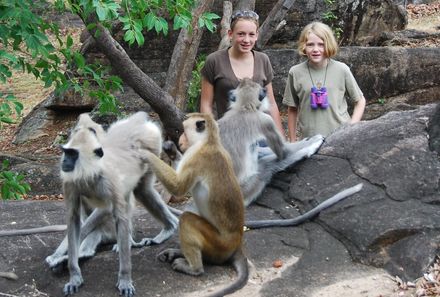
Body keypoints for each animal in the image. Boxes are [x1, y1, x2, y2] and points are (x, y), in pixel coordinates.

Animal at [55, 111, 178, 296]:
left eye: (73, 154)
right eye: (66, 152)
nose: (64, 161)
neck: (91, 172)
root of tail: (136, 121)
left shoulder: (110, 181)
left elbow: (117, 216)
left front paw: (125, 279)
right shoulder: (70, 183)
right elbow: (74, 220)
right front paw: (74, 275)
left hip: (152, 146)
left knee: (140, 192)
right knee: (142, 191)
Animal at [144, 112, 248, 296]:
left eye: (184, 131)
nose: (180, 141)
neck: (209, 141)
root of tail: (236, 244)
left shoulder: (196, 157)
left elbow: (178, 187)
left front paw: (144, 153)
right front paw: (171, 150)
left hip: (218, 245)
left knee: (186, 219)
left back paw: (194, 269)